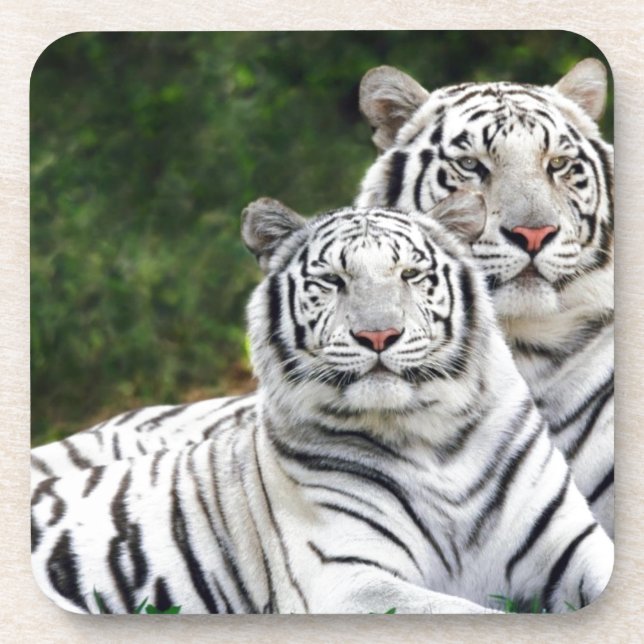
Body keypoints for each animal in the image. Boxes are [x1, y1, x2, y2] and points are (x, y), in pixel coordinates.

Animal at [31, 194, 613, 614]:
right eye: (333, 281)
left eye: (410, 275)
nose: (378, 336)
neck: (432, 439)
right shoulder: (345, 578)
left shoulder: (570, 542)